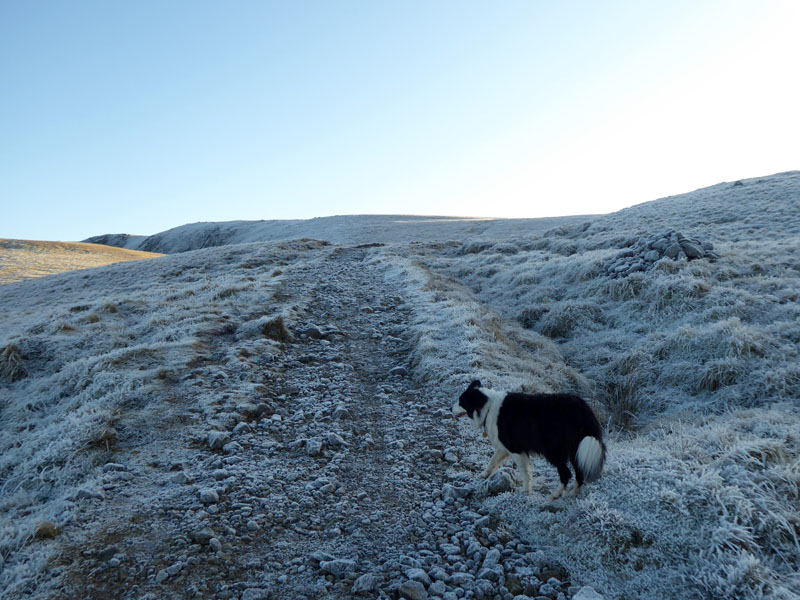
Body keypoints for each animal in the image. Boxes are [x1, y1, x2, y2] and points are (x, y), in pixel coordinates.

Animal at [450, 380, 608, 502]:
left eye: (461, 401)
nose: (450, 408)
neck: (487, 406)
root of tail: (584, 411)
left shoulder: (516, 449)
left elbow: (525, 471)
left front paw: (525, 489)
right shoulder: (504, 446)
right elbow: (493, 460)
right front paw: (484, 474)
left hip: (553, 450)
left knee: (566, 473)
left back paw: (556, 495)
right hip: (578, 448)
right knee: (579, 472)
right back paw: (574, 492)